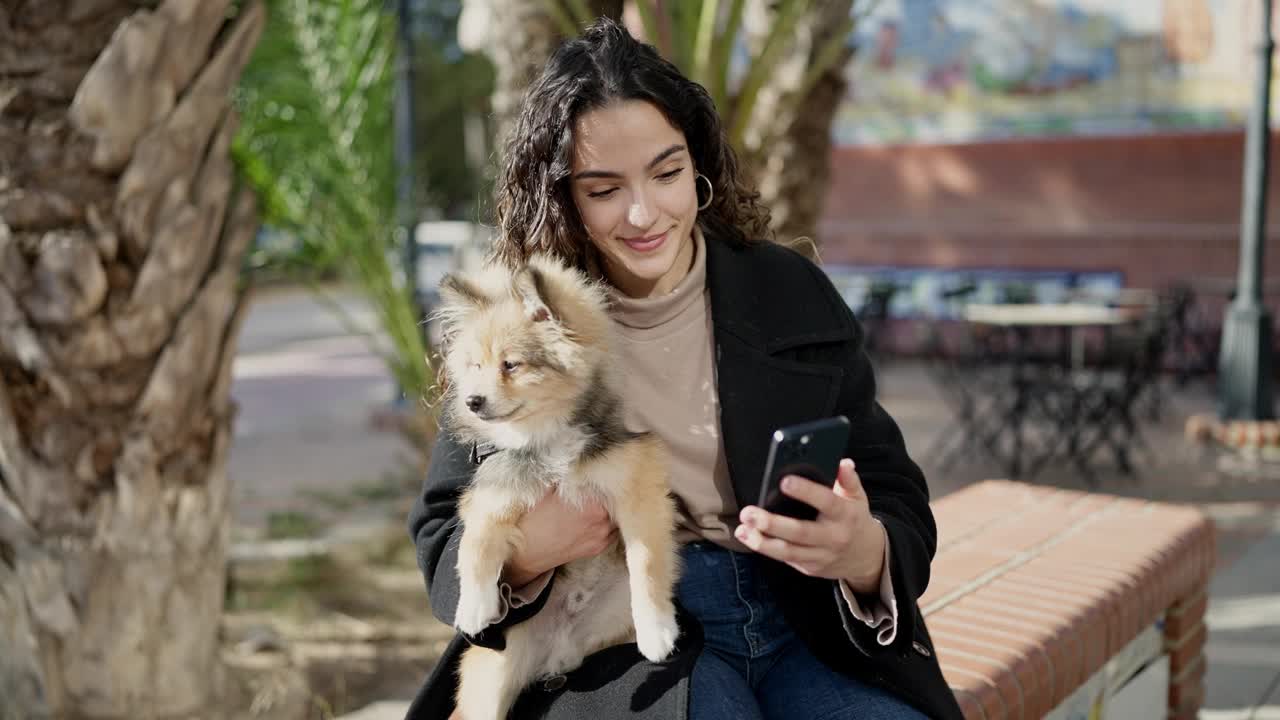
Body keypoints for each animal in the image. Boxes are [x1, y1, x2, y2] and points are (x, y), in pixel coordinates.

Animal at [437, 254, 686, 712]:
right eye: (474, 367)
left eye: (511, 365)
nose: (472, 401)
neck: (547, 437)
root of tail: (557, 652)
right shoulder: (494, 493)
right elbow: (474, 545)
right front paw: (475, 607)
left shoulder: (638, 490)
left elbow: (645, 563)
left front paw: (657, 631)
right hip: (489, 685)